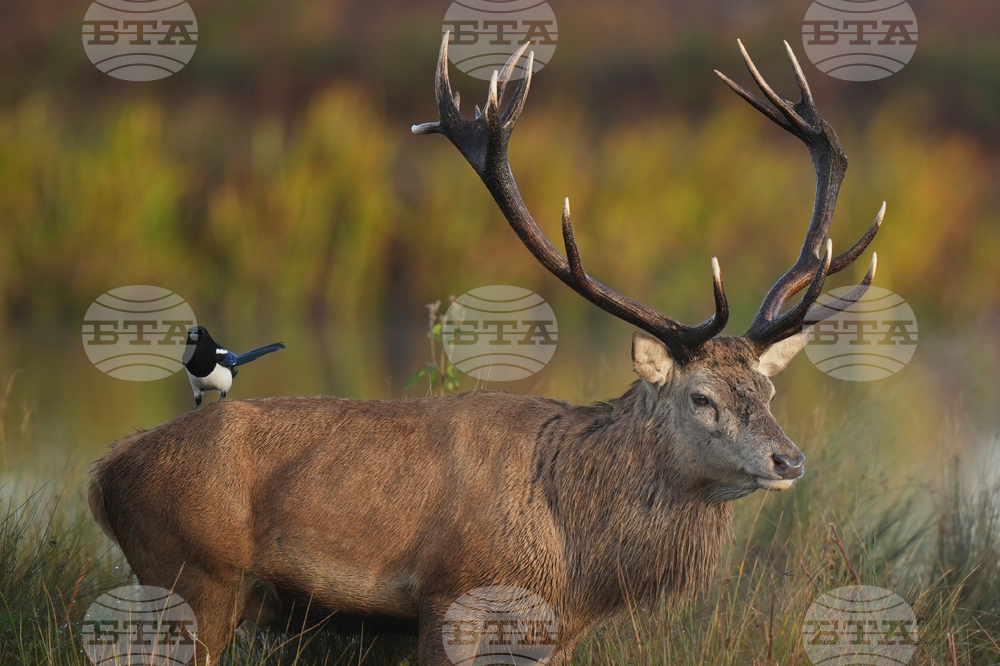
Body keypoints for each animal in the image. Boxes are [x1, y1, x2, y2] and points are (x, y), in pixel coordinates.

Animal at [88, 38, 883, 666]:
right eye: (702, 397)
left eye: (768, 391)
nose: (789, 459)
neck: (573, 558)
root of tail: (102, 477)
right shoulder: (451, 599)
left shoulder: (555, 635)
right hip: (193, 576)